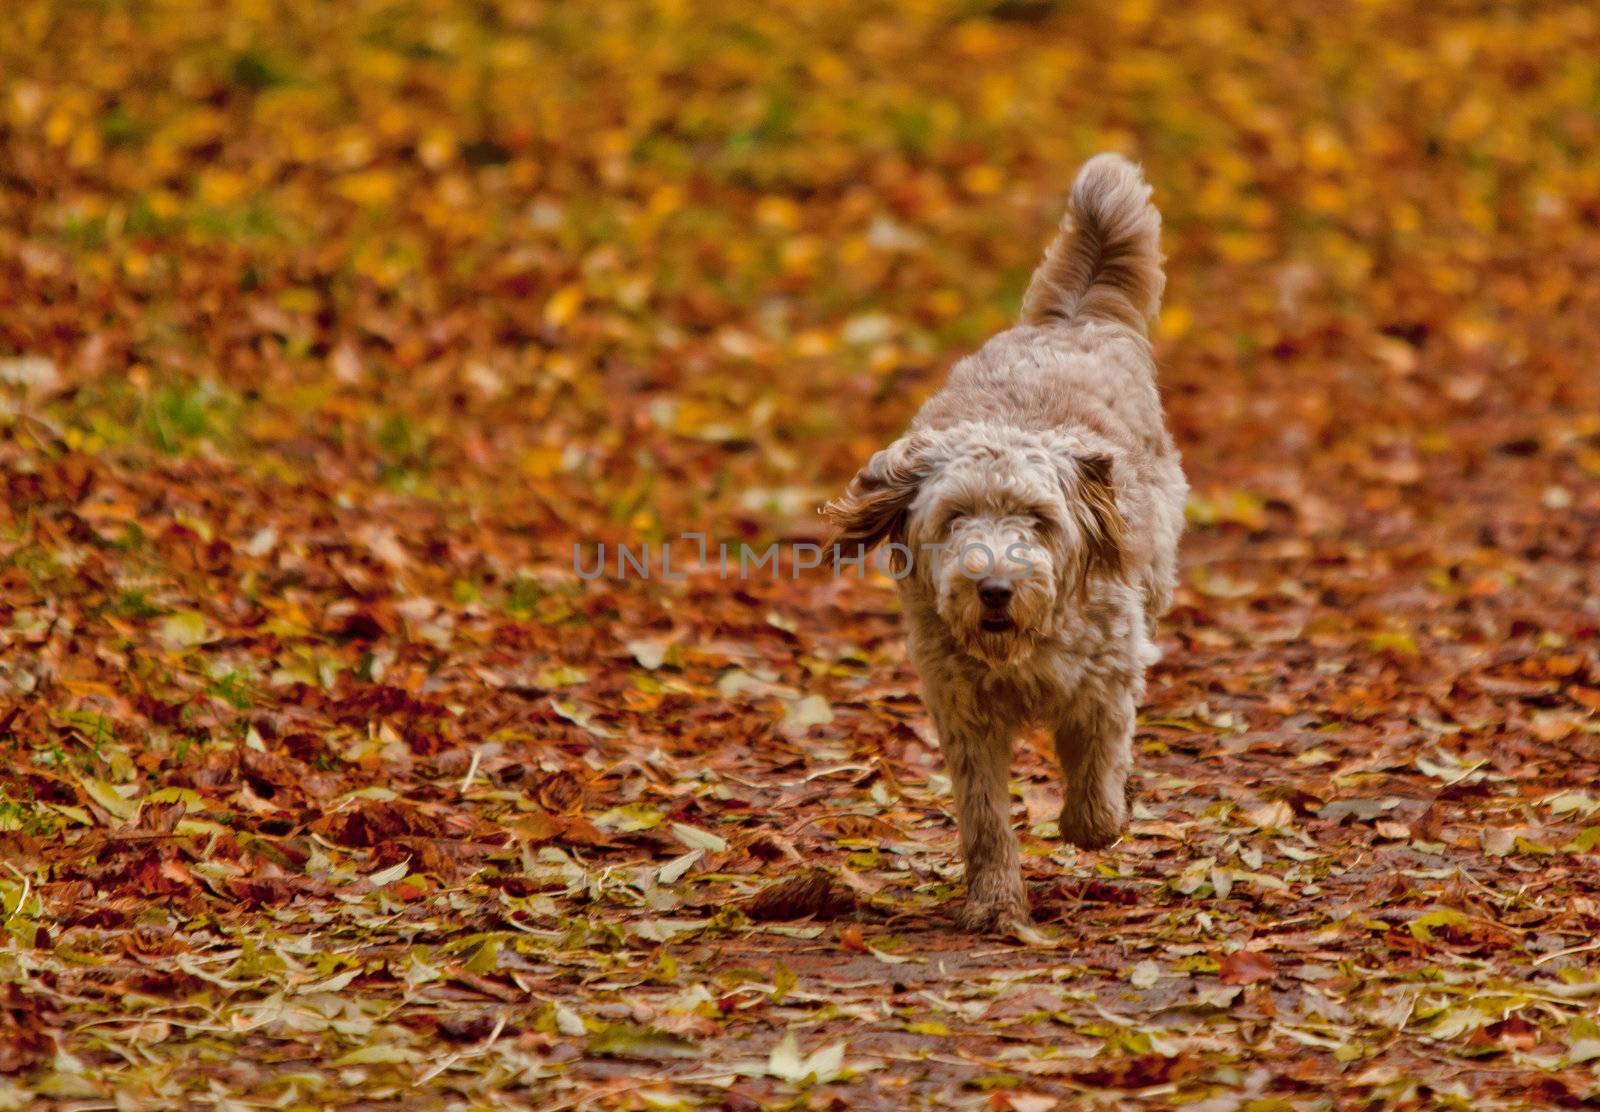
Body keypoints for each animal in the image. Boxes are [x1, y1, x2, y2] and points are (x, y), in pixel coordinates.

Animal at [825, 152, 1190, 928]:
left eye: (1038, 518)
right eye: (954, 517)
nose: (993, 587)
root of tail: (1071, 322)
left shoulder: (1107, 680)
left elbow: (1096, 777)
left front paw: (1095, 820)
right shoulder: (962, 713)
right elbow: (985, 815)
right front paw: (994, 901)